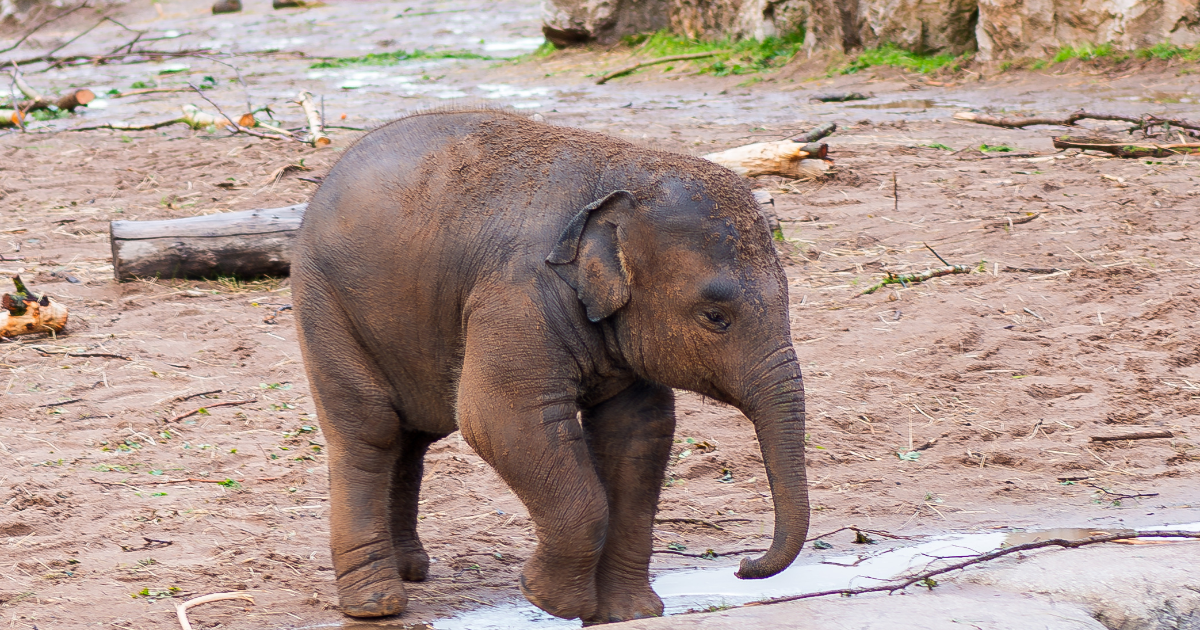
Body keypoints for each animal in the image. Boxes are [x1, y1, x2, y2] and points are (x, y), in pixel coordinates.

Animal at [292, 109, 809, 624]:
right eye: (715, 317)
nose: (743, 566)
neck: (620, 180)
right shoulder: (516, 295)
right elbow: (495, 419)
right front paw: (553, 602)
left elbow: (638, 430)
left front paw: (627, 614)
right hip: (325, 304)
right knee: (369, 429)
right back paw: (376, 605)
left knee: (412, 437)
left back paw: (411, 570)